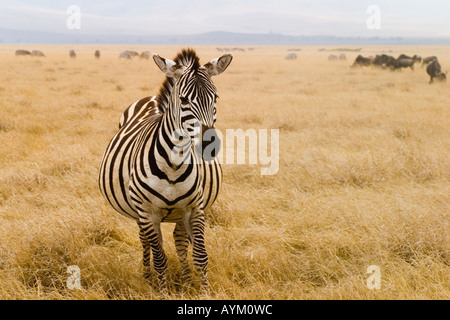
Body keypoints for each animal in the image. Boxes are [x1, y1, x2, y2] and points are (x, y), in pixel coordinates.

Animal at [98, 48, 232, 292]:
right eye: (184, 100)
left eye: (215, 98)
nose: (209, 144)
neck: (174, 165)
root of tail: (150, 98)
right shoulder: (146, 210)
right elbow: (160, 258)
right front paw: (163, 292)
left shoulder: (195, 207)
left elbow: (200, 256)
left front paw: (204, 292)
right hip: (141, 213)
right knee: (146, 241)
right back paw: (147, 276)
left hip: (178, 212)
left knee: (179, 240)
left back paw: (186, 280)